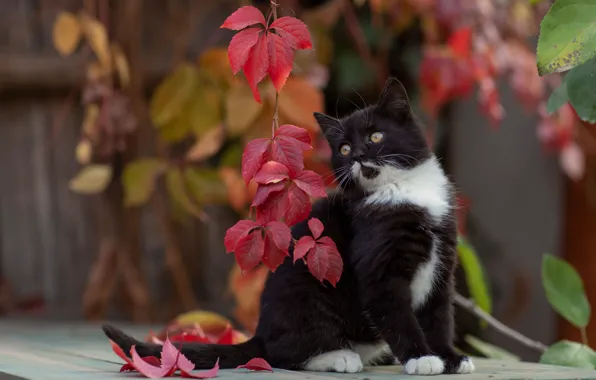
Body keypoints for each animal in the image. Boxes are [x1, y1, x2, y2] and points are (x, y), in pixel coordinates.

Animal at [102, 78, 474, 376]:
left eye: (376, 136)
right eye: (344, 148)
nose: (357, 157)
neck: (402, 191)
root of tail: (260, 333)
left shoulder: (443, 262)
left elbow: (440, 315)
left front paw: (449, 357)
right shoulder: (378, 264)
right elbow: (396, 313)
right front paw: (421, 358)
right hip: (309, 287)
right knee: (282, 354)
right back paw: (338, 357)